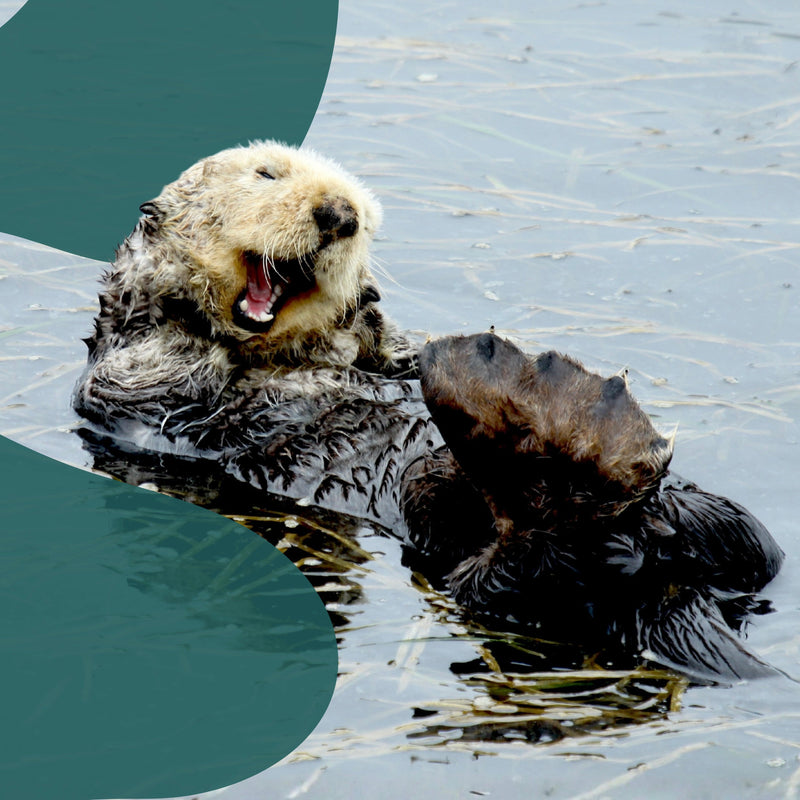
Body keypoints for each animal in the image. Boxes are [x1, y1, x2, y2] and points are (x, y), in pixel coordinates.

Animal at [73, 142, 783, 683]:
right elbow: (147, 363)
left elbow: (396, 353)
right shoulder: (125, 384)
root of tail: (664, 582)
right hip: (473, 542)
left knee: (741, 544)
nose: (340, 215)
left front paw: (371, 307)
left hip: (710, 522)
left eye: (362, 213)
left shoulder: (379, 355)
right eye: (265, 174)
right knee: (532, 563)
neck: (285, 351)